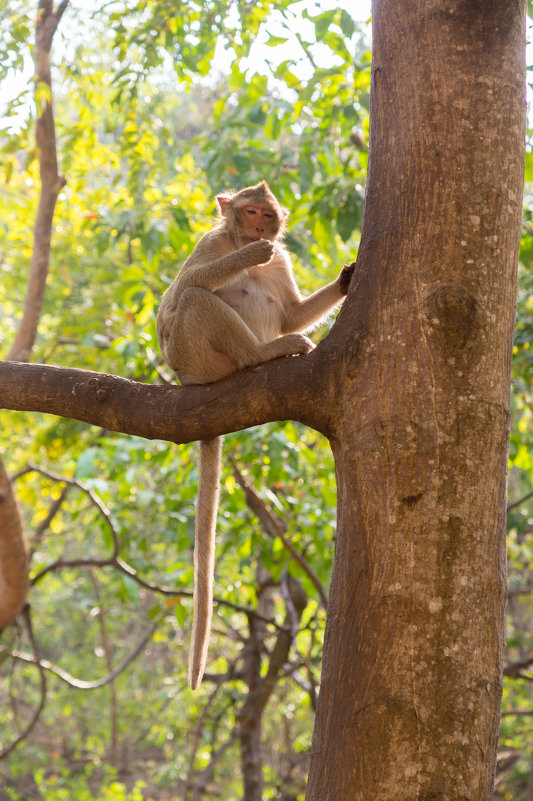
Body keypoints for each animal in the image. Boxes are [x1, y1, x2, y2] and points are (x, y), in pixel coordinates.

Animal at [156, 181, 352, 688]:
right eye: (249, 212)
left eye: (267, 213)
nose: (261, 230)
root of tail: (191, 381)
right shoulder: (210, 244)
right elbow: (177, 295)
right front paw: (248, 256)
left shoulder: (281, 263)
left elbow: (291, 312)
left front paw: (345, 280)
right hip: (193, 356)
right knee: (193, 300)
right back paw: (261, 355)